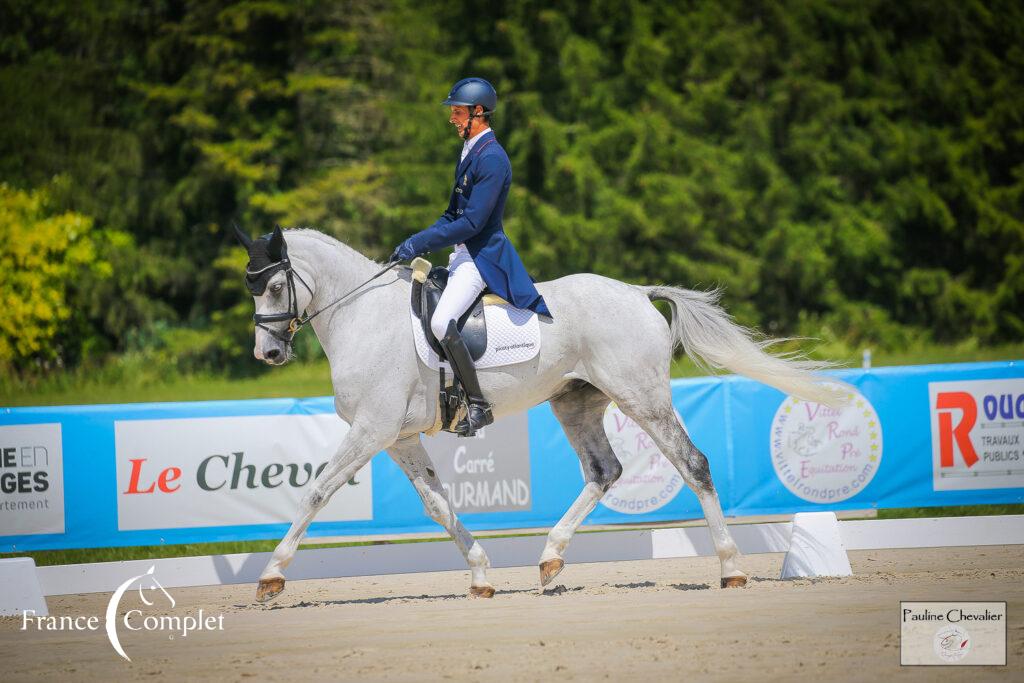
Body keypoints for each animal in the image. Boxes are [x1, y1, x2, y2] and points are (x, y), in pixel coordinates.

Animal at [234, 227, 847, 602]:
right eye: (252, 287)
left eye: (275, 285)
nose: (268, 355)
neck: (360, 316)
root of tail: (636, 292)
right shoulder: (397, 436)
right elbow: (438, 505)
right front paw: (481, 575)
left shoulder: (371, 429)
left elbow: (317, 491)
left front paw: (271, 576)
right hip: (576, 401)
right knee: (604, 471)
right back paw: (551, 558)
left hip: (642, 396)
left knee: (692, 464)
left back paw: (731, 567)